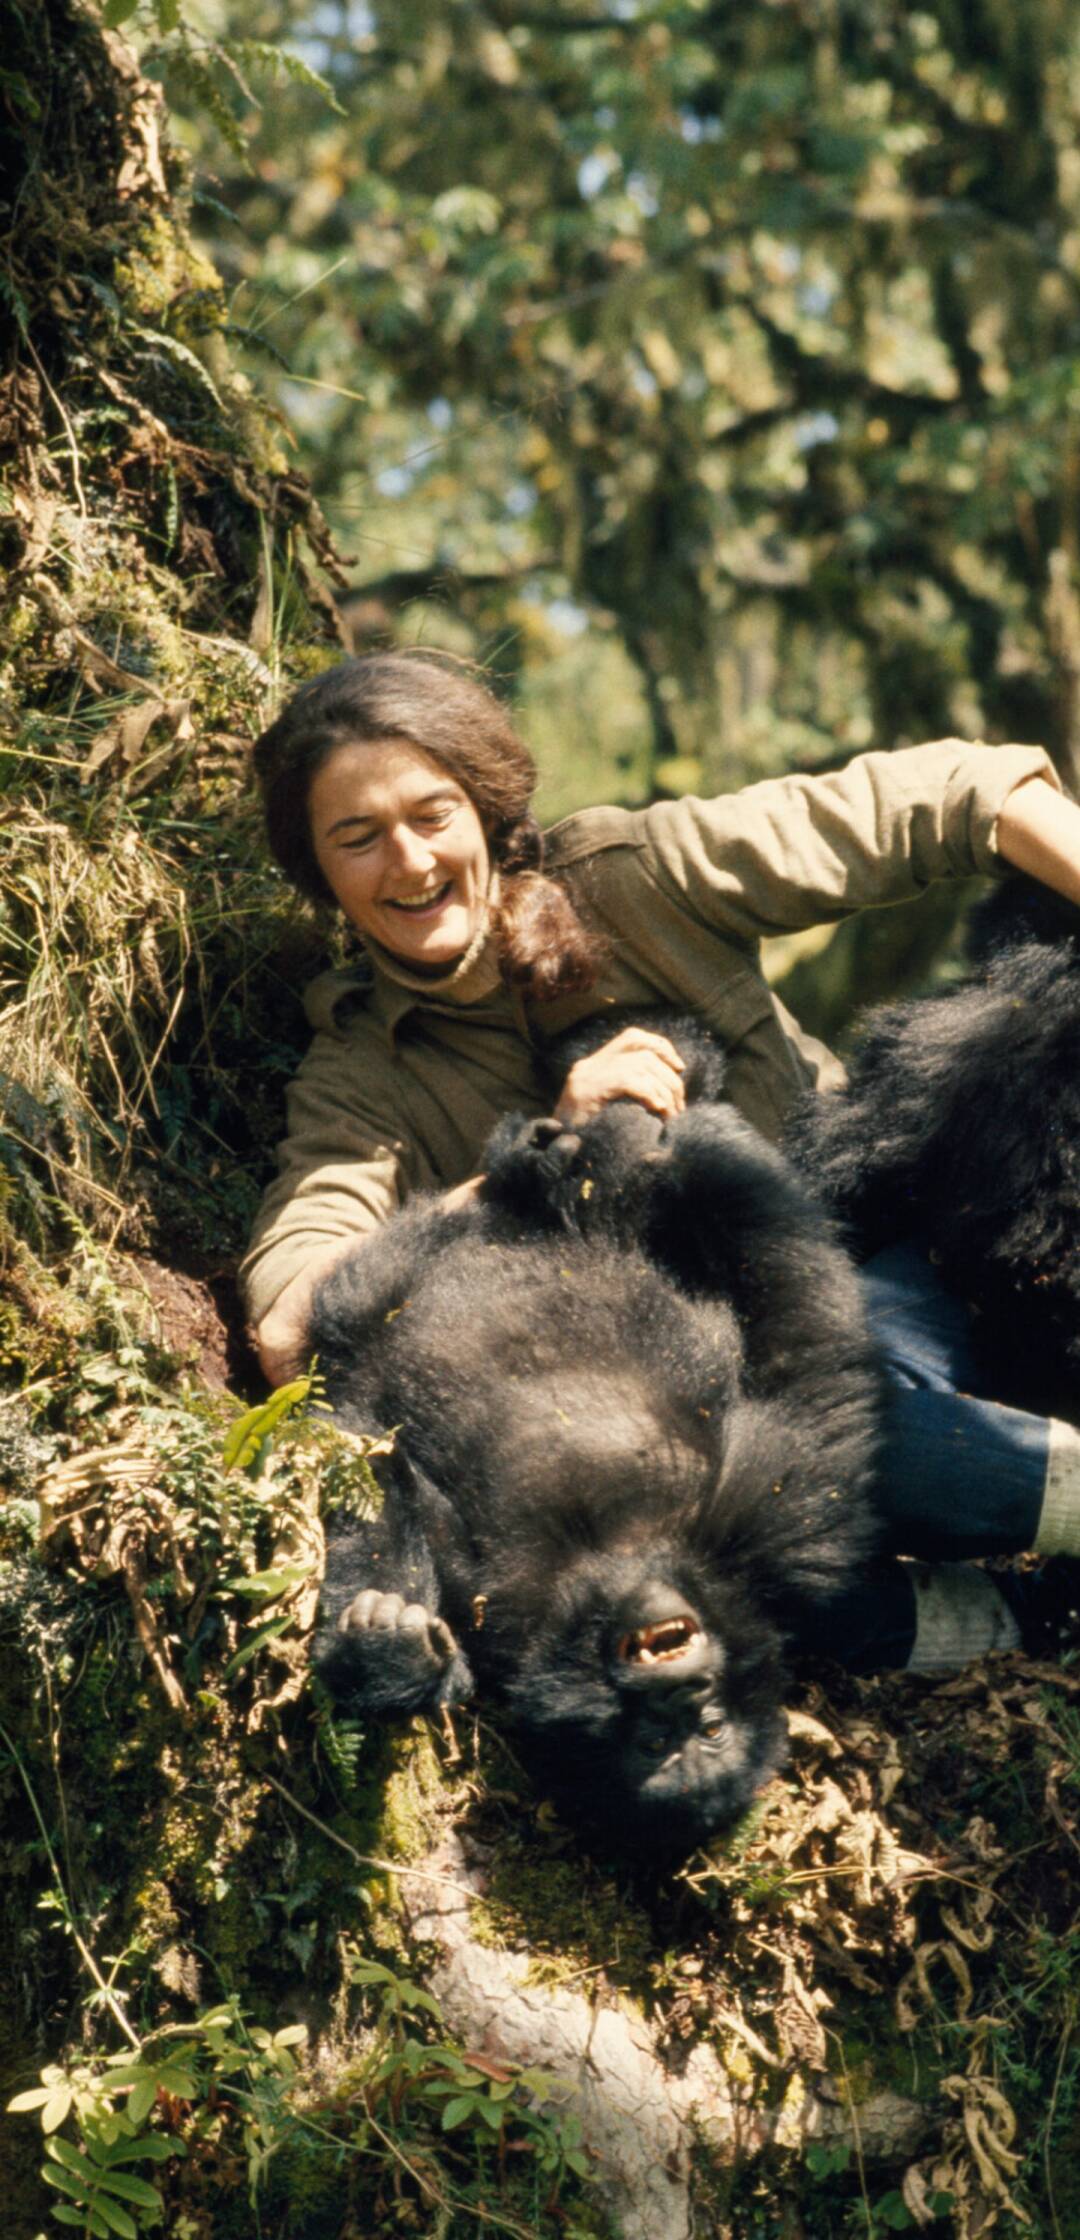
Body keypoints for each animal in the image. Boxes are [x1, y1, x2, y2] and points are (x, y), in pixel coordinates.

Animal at [306, 1025, 882, 1863]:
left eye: (698, 1730)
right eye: (674, 1733)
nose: (679, 1681)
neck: (614, 1554)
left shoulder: (500, 1618)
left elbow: (385, 1475)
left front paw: (388, 1656)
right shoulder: (786, 1522)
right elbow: (803, 1341)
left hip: (373, 1286)